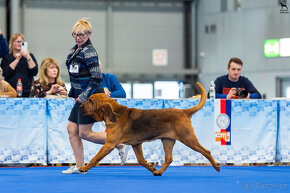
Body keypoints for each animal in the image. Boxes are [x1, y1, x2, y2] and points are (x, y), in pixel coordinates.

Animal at [79, 82, 220, 176]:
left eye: (90, 100)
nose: (80, 106)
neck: (115, 113)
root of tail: (184, 112)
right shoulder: (136, 144)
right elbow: (141, 160)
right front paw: (151, 167)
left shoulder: (109, 144)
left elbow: (95, 158)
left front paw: (84, 168)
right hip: (167, 140)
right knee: (169, 159)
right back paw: (158, 172)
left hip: (188, 139)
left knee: (206, 151)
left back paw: (217, 166)